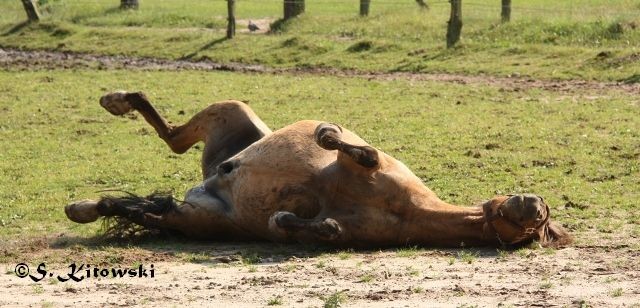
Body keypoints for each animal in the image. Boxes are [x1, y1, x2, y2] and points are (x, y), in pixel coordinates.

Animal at [65, 91, 572, 248]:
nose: (533, 203)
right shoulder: (368, 161)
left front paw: (294, 218)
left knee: (141, 205)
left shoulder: (338, 229)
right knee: (171, 137)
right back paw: (115, 101)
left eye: (541, 223)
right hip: (233, 110)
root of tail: (209, 179)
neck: (407, 211)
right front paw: (327, 131)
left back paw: (83, 207)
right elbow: (355, 149)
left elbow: (309, 225)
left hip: (193, 218)